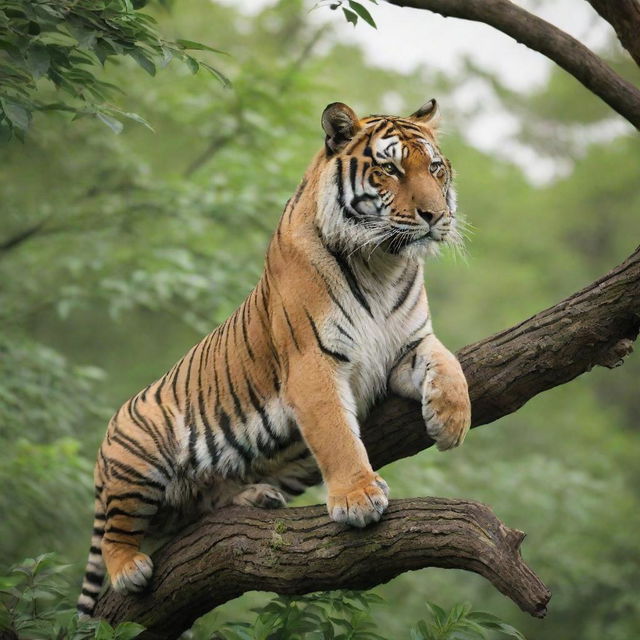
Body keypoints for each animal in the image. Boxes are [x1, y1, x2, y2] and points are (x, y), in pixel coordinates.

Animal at [79, 99, 470, 616]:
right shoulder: (312, 363)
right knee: (117, 532)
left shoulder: (408, 347)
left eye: (435, 168)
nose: (435, 215)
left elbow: (448, 363)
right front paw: (358, 498)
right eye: (389, 168)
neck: (384, 264)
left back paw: (255, 497)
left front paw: (451, 420)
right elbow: (336, 436)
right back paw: (129, 568)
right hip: (137, 456)